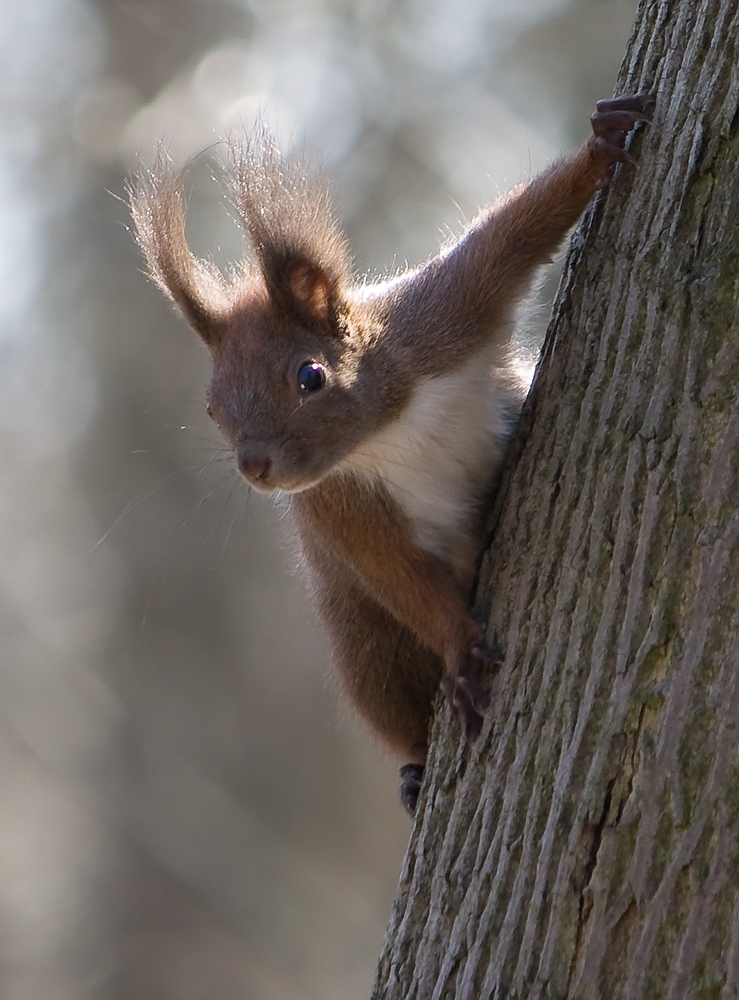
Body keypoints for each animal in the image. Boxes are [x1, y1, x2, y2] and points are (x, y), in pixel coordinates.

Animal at [130, 94, 656, 812]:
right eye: (212, 409)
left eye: (310, 376)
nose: (255, 467)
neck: (388, 428)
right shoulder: (337, 506)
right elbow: (400, 574)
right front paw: (461, 651)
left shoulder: (442, 316)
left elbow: (514, 235)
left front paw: (600, 145)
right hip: (364, 647)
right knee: (393, 699)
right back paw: (413, 770)